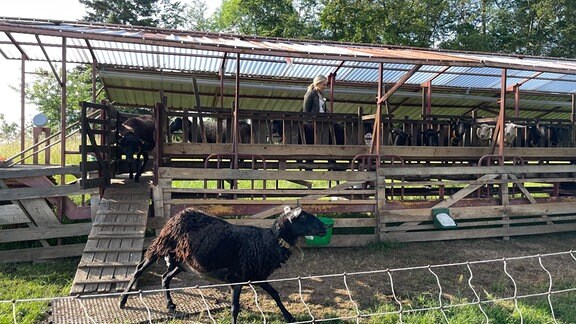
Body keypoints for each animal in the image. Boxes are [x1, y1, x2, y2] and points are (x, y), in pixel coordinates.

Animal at [118, 206, 324, 322]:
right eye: (304, 217)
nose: (325, 227)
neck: (268, 242)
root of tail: (180, 213)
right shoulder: (237, 280)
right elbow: (235, 308)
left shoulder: (256, 276)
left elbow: (275, 294)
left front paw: (289, 316)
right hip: (161, 246)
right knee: (138, 270)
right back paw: (122, 301)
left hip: (181, 261)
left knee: (165, 277)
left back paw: (170, 305)